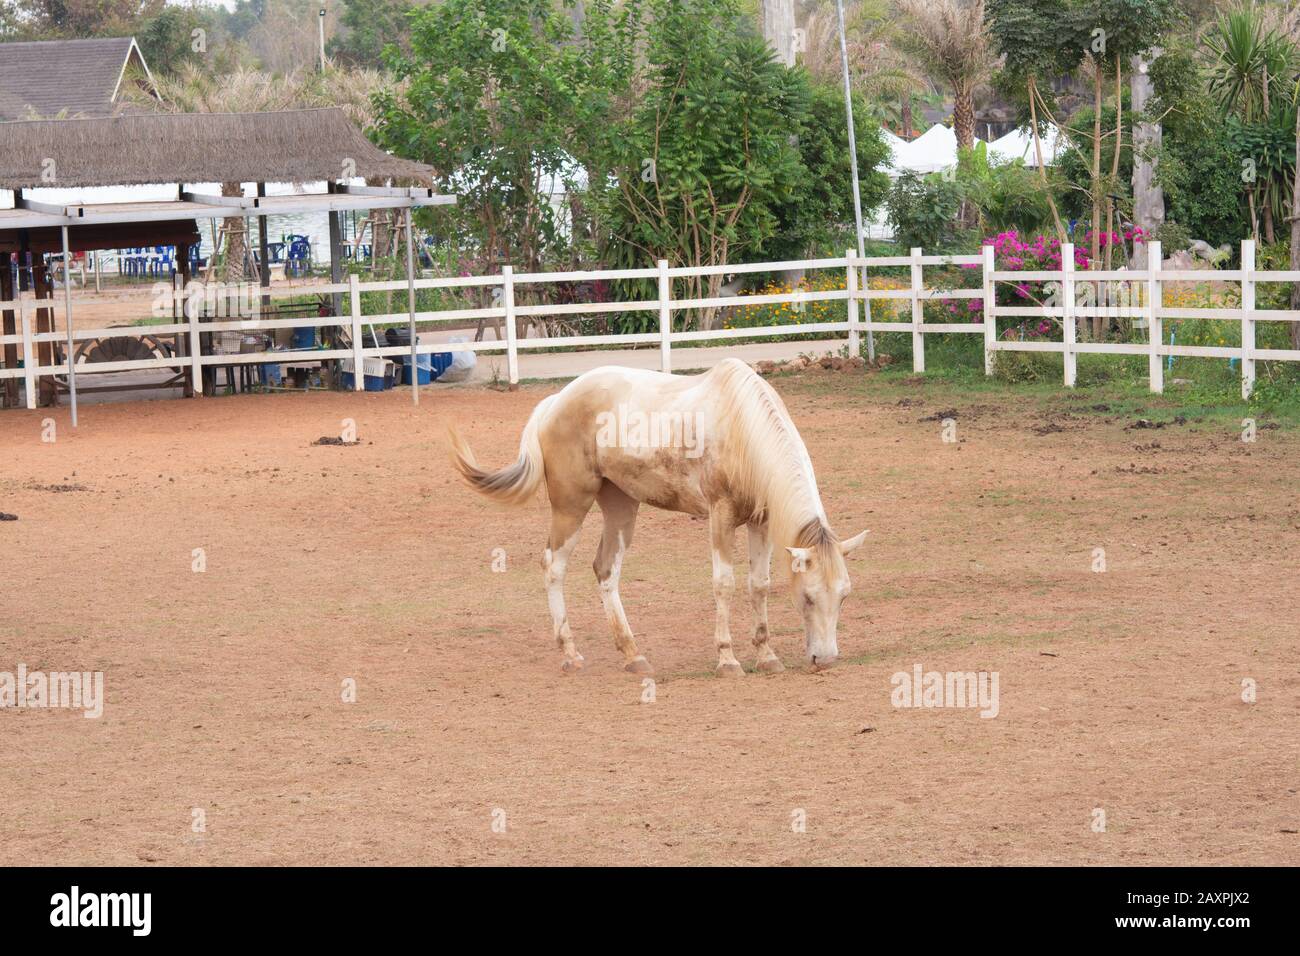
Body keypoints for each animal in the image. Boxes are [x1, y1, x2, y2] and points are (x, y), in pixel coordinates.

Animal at [447, 358, 863, 681]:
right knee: (553, 567)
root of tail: (554, 402)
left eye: (843, 596)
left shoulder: (759, 520)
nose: (826, 659)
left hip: (620, 506)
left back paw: (633, 655)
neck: (742, 428)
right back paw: (570, 654)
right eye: (808, 597)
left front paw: (766, 656)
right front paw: (727, 659)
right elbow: (724, 585)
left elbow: (758, 585)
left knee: (606, 570)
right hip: (571, 506)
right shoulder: (721, 516)